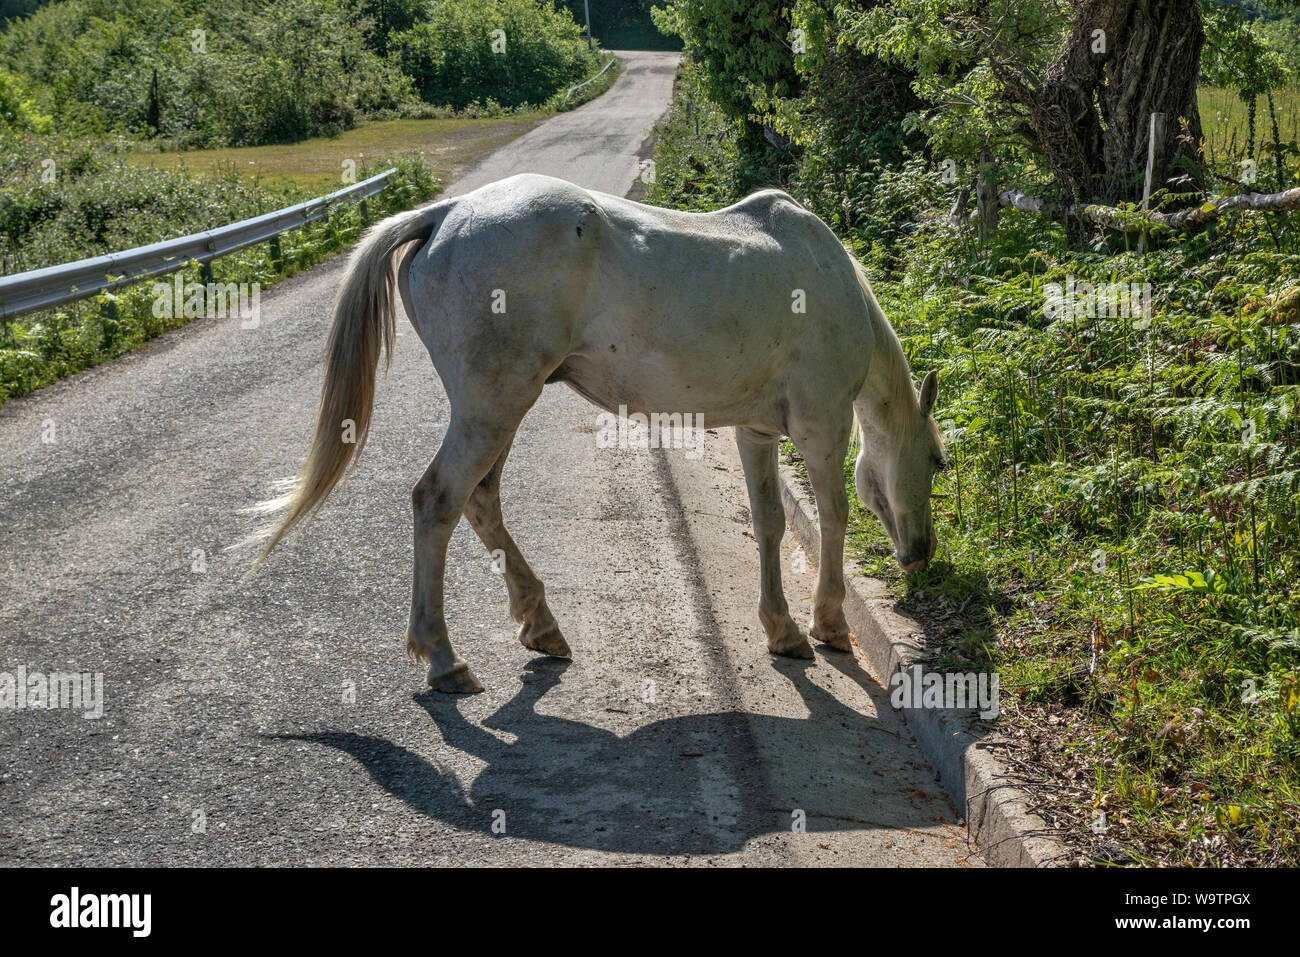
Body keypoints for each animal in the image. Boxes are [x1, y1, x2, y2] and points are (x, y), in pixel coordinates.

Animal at [254, 173, 946, 693]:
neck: (830, 282)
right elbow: (833, 518)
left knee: (481, 501)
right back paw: (445, 659)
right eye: (938, 462)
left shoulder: (755, 433)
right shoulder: (821, 426)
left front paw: (782, 630)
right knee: (438, 502)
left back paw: (541, 625)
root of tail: (445, 213)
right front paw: (828, 624)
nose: (921, 554)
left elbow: (771, 523)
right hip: (493, 406)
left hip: (499, 408)